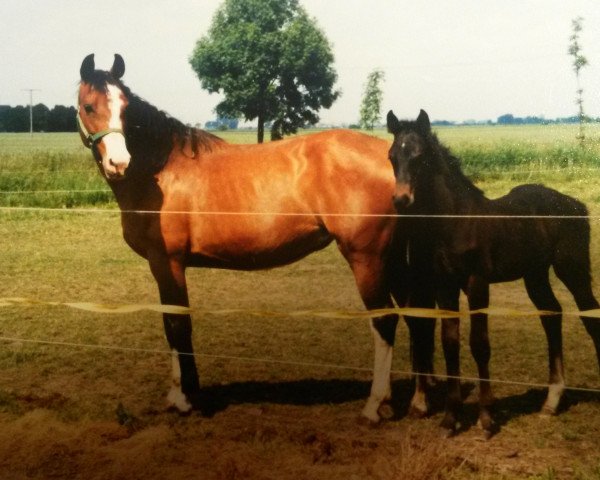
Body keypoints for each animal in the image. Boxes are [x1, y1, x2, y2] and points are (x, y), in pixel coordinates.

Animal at [77, 54, 434, 424]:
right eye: (89, 106)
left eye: (125, 108)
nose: (119, 162)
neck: (161, 173)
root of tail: (391, 161)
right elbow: (173, 322)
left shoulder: (167, 263)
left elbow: (176, 324)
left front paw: (182, 398)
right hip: (393, 259)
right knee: (415, 317)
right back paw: (418, 401)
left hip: (367, 258)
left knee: (385, 321)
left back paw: (374, 404)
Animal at [386, 109, 596, 438]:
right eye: (392, 156)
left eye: (420, 156)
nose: (401, 200)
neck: (457, 221)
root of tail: (576, 205)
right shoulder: (445, 286)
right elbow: (450, 344)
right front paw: (450, 420)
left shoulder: (477, 283)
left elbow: (480, 344)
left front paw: (486, 420)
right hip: (535, 275)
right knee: (552, 314)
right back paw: (551, 401)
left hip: (572, 269)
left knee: (590, 316)